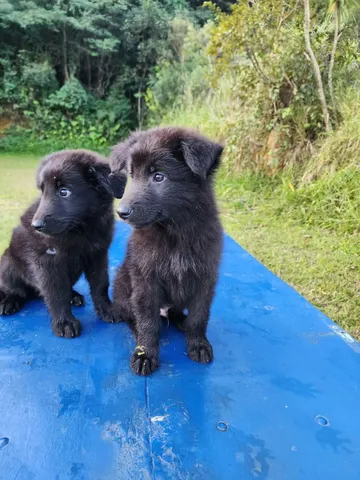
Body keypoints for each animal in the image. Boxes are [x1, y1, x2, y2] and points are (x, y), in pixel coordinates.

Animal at [0, 150, 126, 338]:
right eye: (42, 191)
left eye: (64, 191)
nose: (36, 226)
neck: (81, 229)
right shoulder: (48, 261)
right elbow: (56, 293)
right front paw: (64, 322)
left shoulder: (98, 255)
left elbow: (100, 284)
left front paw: (106, 309)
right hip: (7, 264)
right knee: (14, 289)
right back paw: (9, 301)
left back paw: (73, 296)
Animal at [108, 126, 224, 376]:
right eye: (132, 175)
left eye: (158, 176)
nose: (121, 212)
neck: (174, 233)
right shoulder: (145, 281)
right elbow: (147, 322)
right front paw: (145, 354)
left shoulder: (205, 278)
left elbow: (199, 316)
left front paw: (198, 343)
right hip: (123, 282)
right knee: (130, 314)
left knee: (176, 311)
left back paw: (180, 320)